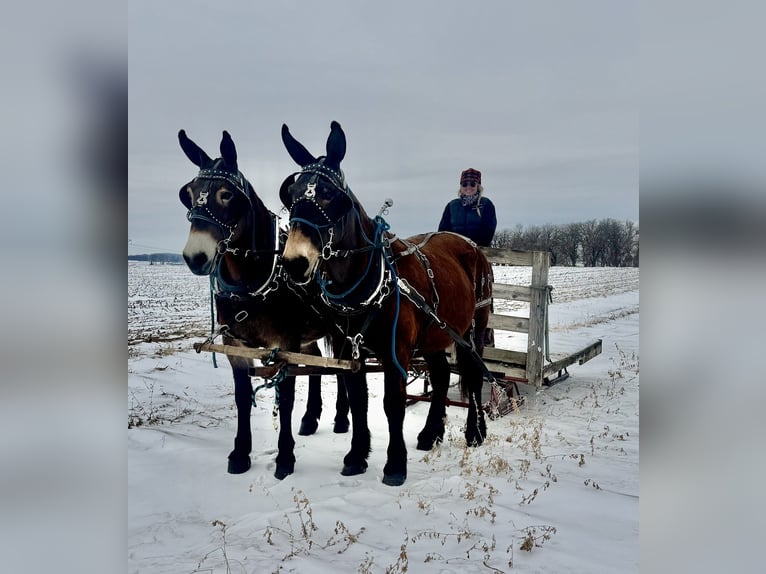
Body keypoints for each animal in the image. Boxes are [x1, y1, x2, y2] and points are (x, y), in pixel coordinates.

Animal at [177, 129, 370, 479]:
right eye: (189, 193)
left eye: (226, 194)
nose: (195, 256)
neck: (251, 283)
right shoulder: (235, 346)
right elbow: (242, 398)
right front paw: (241, 453)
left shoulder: (284, 347)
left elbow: (288, 397)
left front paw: (285, 457)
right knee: (318, 365)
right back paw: (311, 419)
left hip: (339, 332)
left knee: (342, 373)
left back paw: (340, 419)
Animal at [278, 121, 494, 486]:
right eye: (291, 194)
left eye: (330, 194)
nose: (294, 262)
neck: (366, 283)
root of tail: (469, 245)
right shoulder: (349, 351)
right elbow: (358, 401)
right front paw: (356, 456)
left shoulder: (396, 353)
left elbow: (393, 404)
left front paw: (395, 464)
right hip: (435, 334)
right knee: (439, 376)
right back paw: (431, 433)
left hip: (472, 327)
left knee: (474, 374)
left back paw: (475, 431)